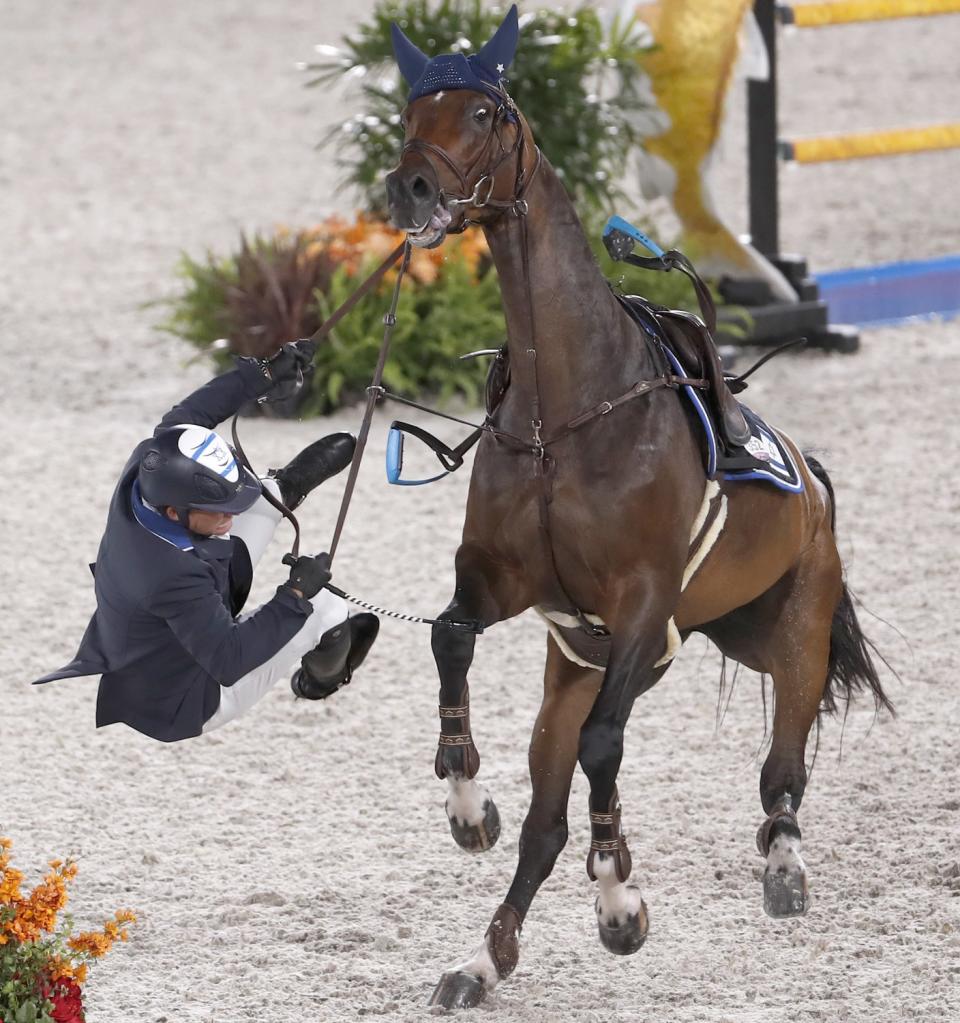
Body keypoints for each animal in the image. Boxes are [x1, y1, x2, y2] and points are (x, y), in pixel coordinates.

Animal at [382, 7, 892, 1010]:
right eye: (412, 110)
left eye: (487, 112)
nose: (411, 185)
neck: (566, 411)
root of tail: (812, 480)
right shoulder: (503, 583)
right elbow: (452, 641)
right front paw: (469, 807)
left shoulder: (642, 602)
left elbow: (606, 748)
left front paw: (619, 892)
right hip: (600, 663)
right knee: (547, 817)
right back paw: (483, 960)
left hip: (788, 637)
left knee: (781, 770)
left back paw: (780, 869)